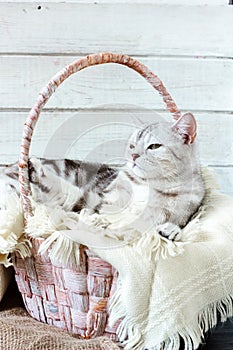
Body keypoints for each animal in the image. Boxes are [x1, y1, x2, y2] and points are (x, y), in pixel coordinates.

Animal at [0, 112, 204, 241]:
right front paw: (37, 171)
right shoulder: (99, 199)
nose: (133, 156)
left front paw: (171, 231)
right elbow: (70, 194)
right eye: (131, 146)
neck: (147, 185)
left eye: (154, 146)